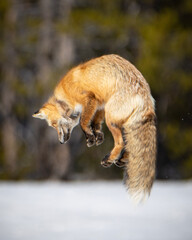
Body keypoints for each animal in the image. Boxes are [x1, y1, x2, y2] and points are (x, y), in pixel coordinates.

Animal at [32, 54, 156, 202]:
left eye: (54, 125)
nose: (60, 142)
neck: (66, 97)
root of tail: (145, 94)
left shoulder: (89, 98)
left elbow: (83, 121)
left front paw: (89, 137)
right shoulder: (100, 103)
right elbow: (95, 123)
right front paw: (97, 136)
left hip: (111, 118)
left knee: (121, 142)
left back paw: (109, 159)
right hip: (122, 121)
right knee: (130, 144)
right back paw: (122, 158)